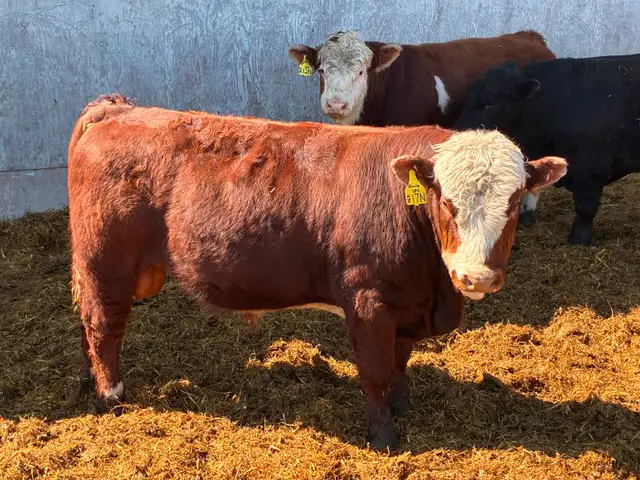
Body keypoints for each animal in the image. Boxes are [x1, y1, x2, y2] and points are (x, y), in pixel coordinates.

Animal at [68, 94, 566, 450]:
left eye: (515, 201)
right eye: (445, 199)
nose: (476, 277)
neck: (433, 288)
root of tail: (121, 109)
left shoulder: (405, 302)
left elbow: (400, 361)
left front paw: (403, 406)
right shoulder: (368, 300)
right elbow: (375, 370)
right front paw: (384, 437)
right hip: (106, 263)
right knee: (103, 324)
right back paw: (111, 394)